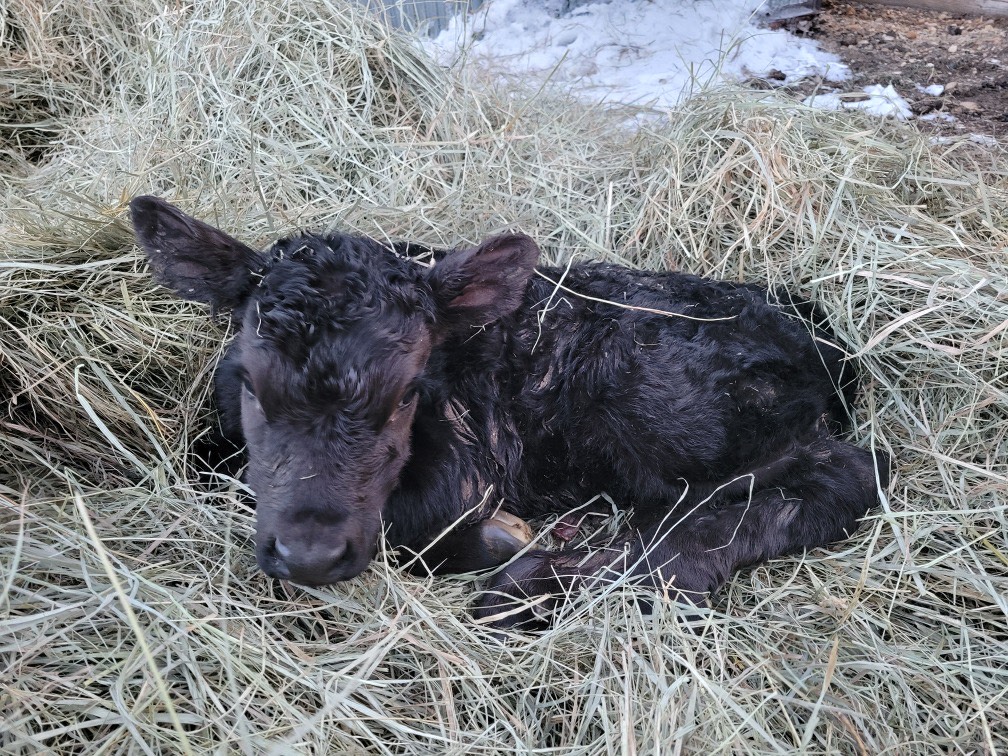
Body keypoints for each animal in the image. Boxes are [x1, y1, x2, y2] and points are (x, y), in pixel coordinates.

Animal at [130, 195, 887, 629]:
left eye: (406, 392)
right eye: (254, 385)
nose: (310, 555)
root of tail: (820, 335)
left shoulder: (472, 462)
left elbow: (422, 522)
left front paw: (500, 541)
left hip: (662, 406)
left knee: (843, 475)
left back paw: (537, 584)